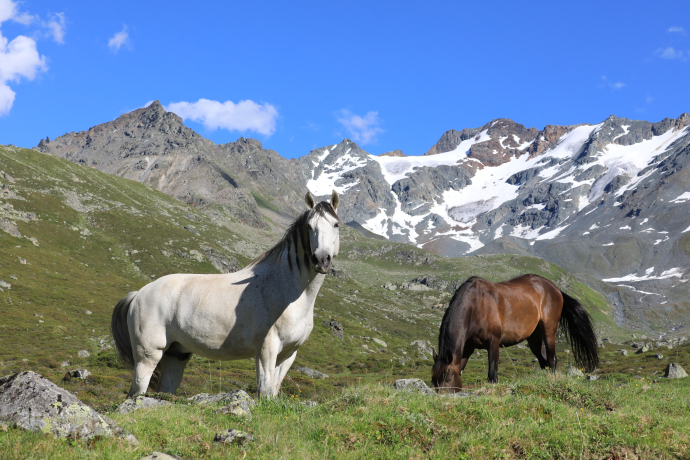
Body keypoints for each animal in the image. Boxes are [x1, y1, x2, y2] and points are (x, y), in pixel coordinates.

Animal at [111, 190, 341, 398]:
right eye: (309, 226)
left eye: (336, 225)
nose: (322, 260)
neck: (289, 292)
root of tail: (138, 294)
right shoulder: (266, 350)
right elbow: (265, 392)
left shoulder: (288, 354)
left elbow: (274, 390)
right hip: (148, 355)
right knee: (137, 391)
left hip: (176, 355)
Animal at [431, 274, 599, 392]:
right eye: (433, 380)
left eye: (448, 378)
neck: (475, 305)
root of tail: (555, 288)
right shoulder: (468, 347)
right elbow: (460, 367)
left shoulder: (493, 342)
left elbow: (492, 374)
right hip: (534, 338)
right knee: (543, 361)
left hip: (549, 330)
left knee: (552, 360)